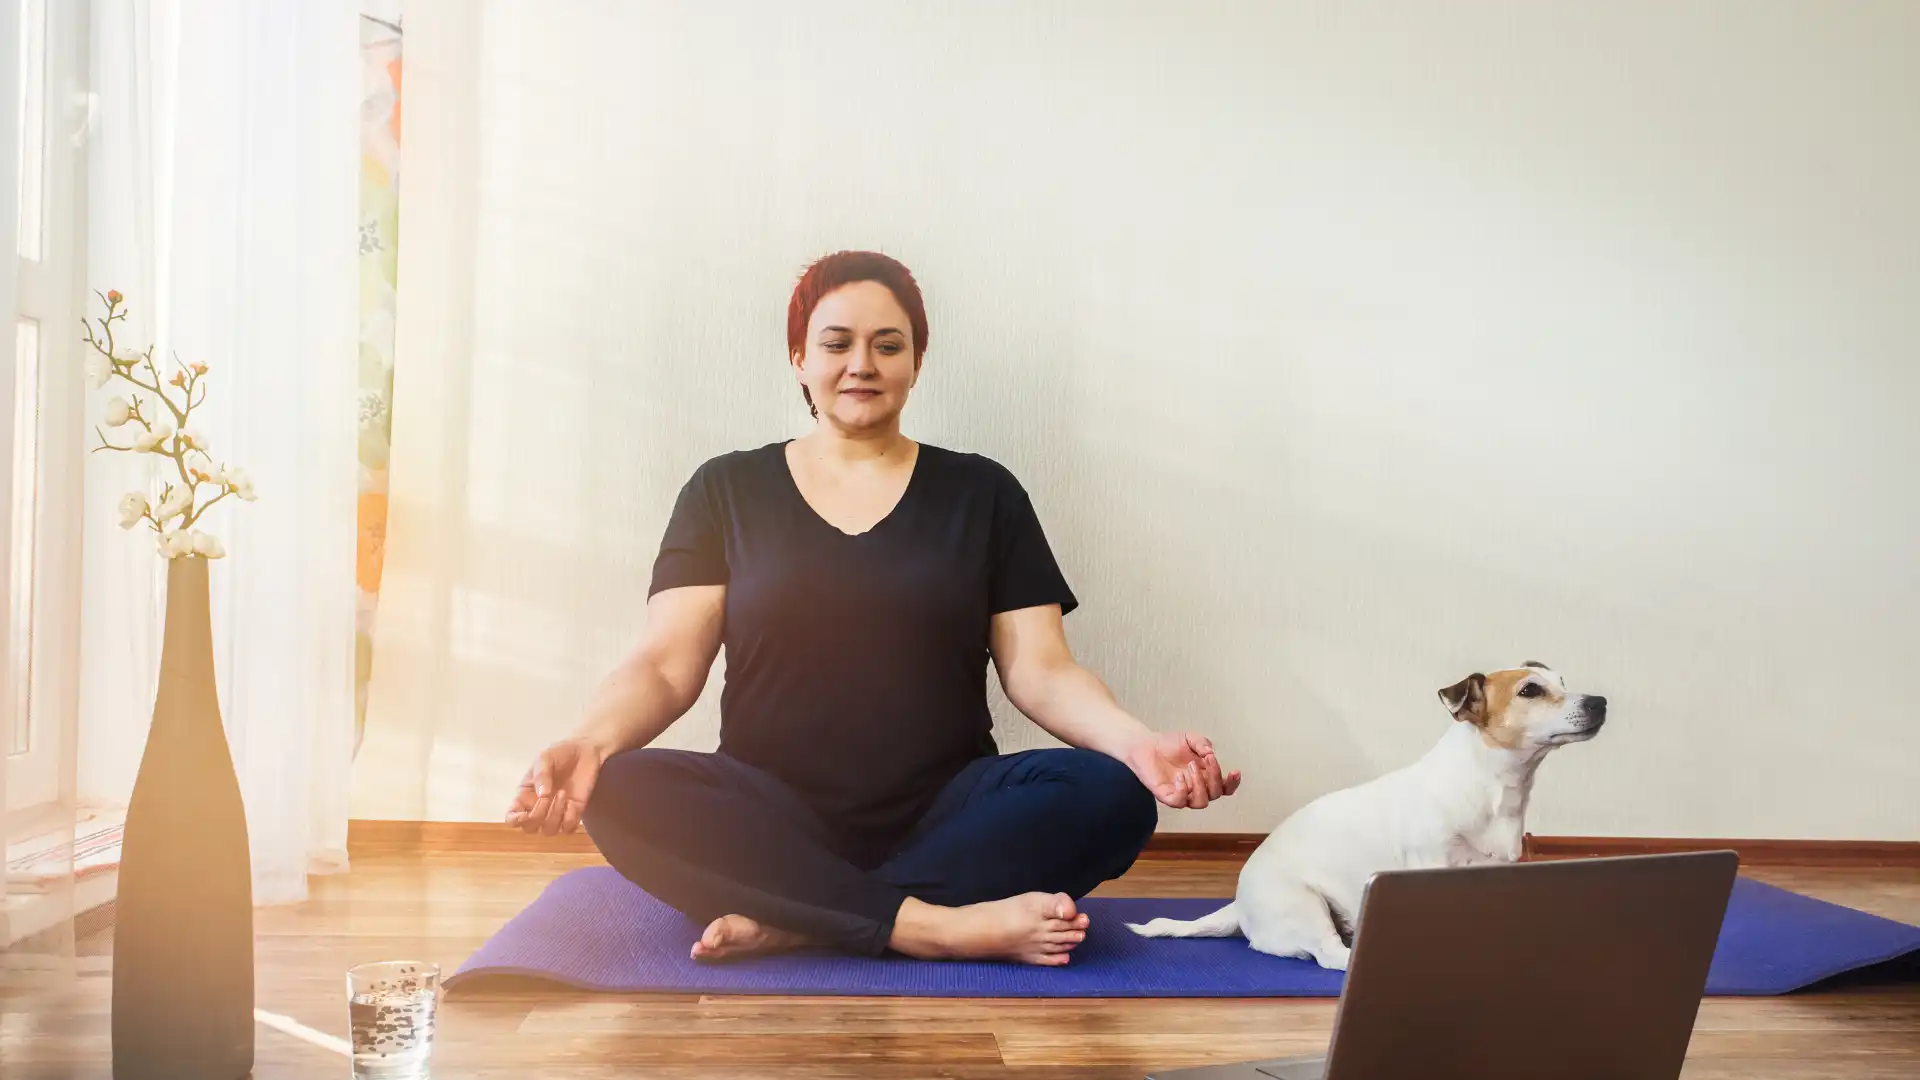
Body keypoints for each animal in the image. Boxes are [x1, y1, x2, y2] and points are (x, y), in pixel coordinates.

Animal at [1121, 661, 1605, 960]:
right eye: (1530, 690)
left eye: (1563, 680)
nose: (1599, 701)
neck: (1489, 786)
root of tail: (1239, 906)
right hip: (1304, 904)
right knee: (1327, 954)